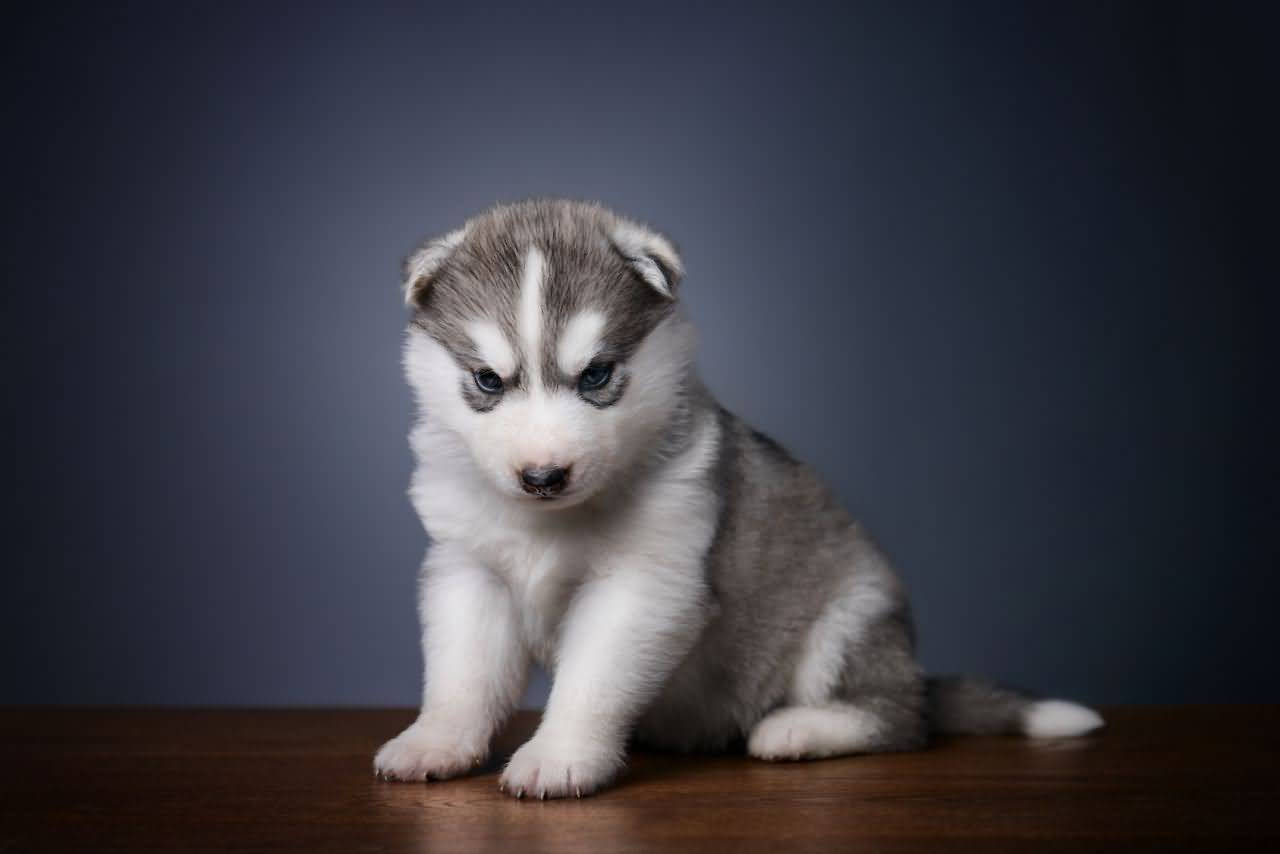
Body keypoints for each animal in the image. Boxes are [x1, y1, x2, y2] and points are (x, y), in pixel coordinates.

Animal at [371, 201, 1100, 804]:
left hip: (850, 617)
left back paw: (800, 729)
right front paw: (435, 741)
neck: (553, 521)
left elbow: (591, 680)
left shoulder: (645, 582)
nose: (544, 475)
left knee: (897, 719)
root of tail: (913, 675)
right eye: (488, 381)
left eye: (598, 375)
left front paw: (560, 755)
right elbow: (462, 674)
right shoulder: (468, 570)